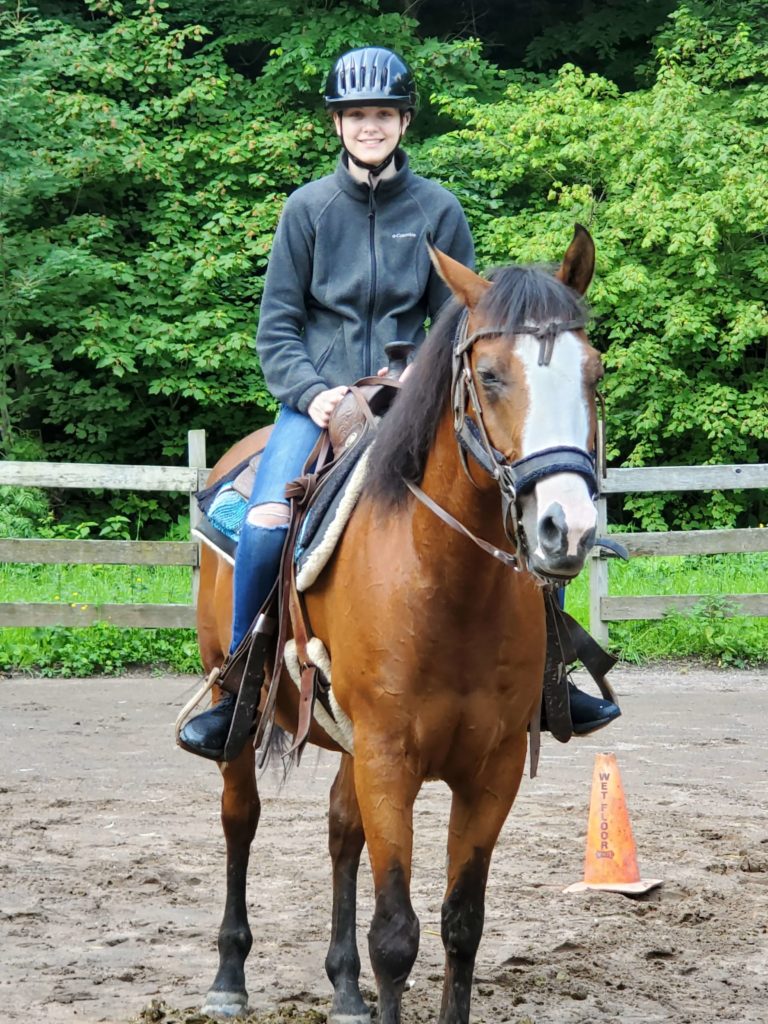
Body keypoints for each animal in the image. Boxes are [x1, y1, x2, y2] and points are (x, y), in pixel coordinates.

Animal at [191, 228, 602, 1024]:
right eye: (490, 376)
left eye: (593, 374)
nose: (565, 528)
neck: (446, 587)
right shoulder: (389, 759)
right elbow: (395, 936)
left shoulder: (493, 768)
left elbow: (460, 925)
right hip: (237, 710)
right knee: (239, 818)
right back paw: (228, 975)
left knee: (341, 830)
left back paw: (344, 987)